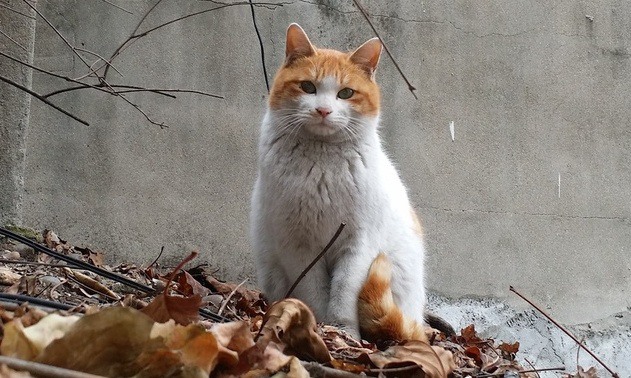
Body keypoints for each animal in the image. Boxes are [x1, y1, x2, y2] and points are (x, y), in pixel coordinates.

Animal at [249, 23, 428, 338]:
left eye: (346, 93)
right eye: (308, 87)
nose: (323, 110)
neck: (322, 163)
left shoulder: (358, 244)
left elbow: (345, 291)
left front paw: (344, 331)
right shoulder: (300, 245)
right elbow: (314, 290)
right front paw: (320, 325)